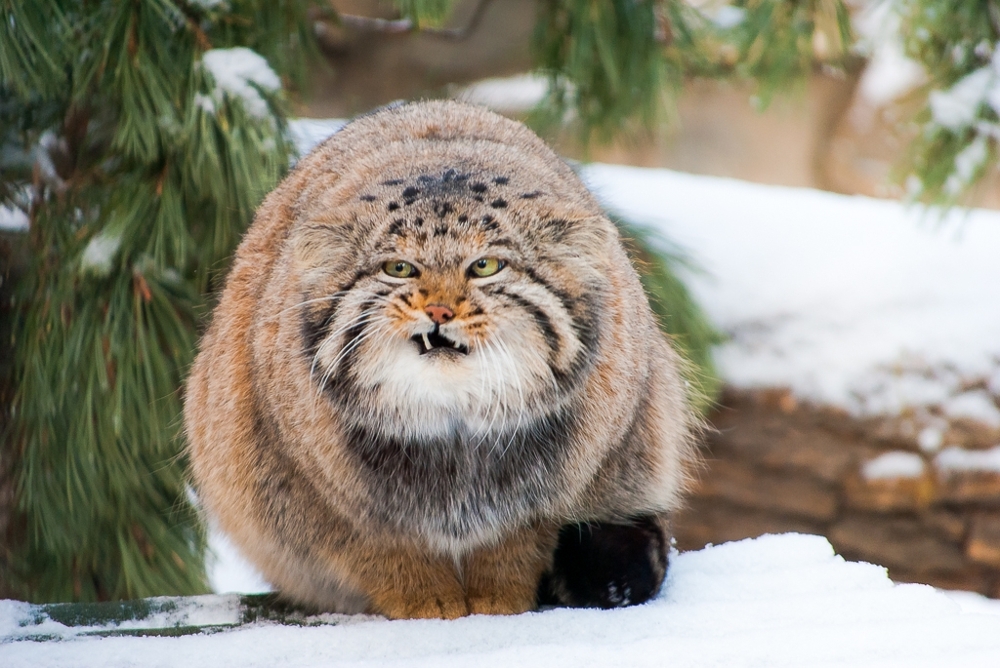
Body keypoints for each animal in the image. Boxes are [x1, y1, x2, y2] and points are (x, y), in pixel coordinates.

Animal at [184, 100, 700, 620]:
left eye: (485, 266)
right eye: (399, 268)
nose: (438, 311)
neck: (454, 428)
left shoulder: (548, 495)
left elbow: (513, 547)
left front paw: (497, 598)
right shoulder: (319, 495)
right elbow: (385, 551)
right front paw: (424, 601)